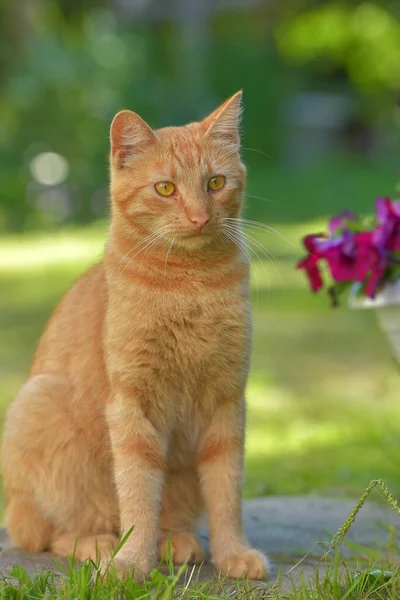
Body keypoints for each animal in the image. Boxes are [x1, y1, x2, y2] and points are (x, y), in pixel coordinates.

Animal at [1, 90, 268, 580]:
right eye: (165, 189)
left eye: (215, 183)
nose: (200, 218)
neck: (189, 287)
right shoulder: (132, 403)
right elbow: (138, 491)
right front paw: (132, 562)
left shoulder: (226, 402)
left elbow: (226, 491)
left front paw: (233, 554)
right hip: (37, 406)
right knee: (51, 534)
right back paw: (103, 545)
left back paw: (176, 542)